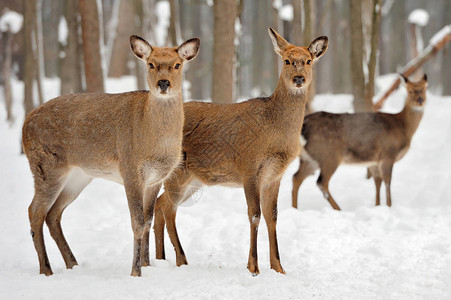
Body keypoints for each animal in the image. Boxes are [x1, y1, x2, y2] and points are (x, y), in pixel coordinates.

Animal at [21, 35, 200, 276]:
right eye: (151, 64)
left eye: (177, 65)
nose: (163, 83)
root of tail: (25, 123)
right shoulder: (130, 169)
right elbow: (137, 223)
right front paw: (135, 272)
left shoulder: (155, 179)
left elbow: (148, 221)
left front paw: (147, 265)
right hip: (45, 166)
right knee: (35, 211)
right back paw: (46, 270)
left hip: (78, 176)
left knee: (53, 214)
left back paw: (72, 264)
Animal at [145, 28, 328, 276]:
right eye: (287, 60)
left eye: (308, 61)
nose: (299, 79)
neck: (276, 132)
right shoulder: (249, 167)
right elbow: (255, 215)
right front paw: (253, 267)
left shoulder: (275, 175)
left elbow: (272, 216)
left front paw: (279, 267)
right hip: (179, 172)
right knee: (167, 208)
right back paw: (181, 259)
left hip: (193, 179)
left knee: (160, 204)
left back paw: (161, 258)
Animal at [292, 74, 430, 211]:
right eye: (410, 91)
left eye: (424, 89)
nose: (420, 100)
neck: (402, 127)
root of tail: (303, 127)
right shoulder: (388, 154)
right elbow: (387, 181)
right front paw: (389, 206)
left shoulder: (374, 161)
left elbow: (377, 182)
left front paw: (377, 206)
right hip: (328, 155)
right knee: (321, 182)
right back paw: (339, 209)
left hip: (309, 158)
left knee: (296, 177)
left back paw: (294, 208)